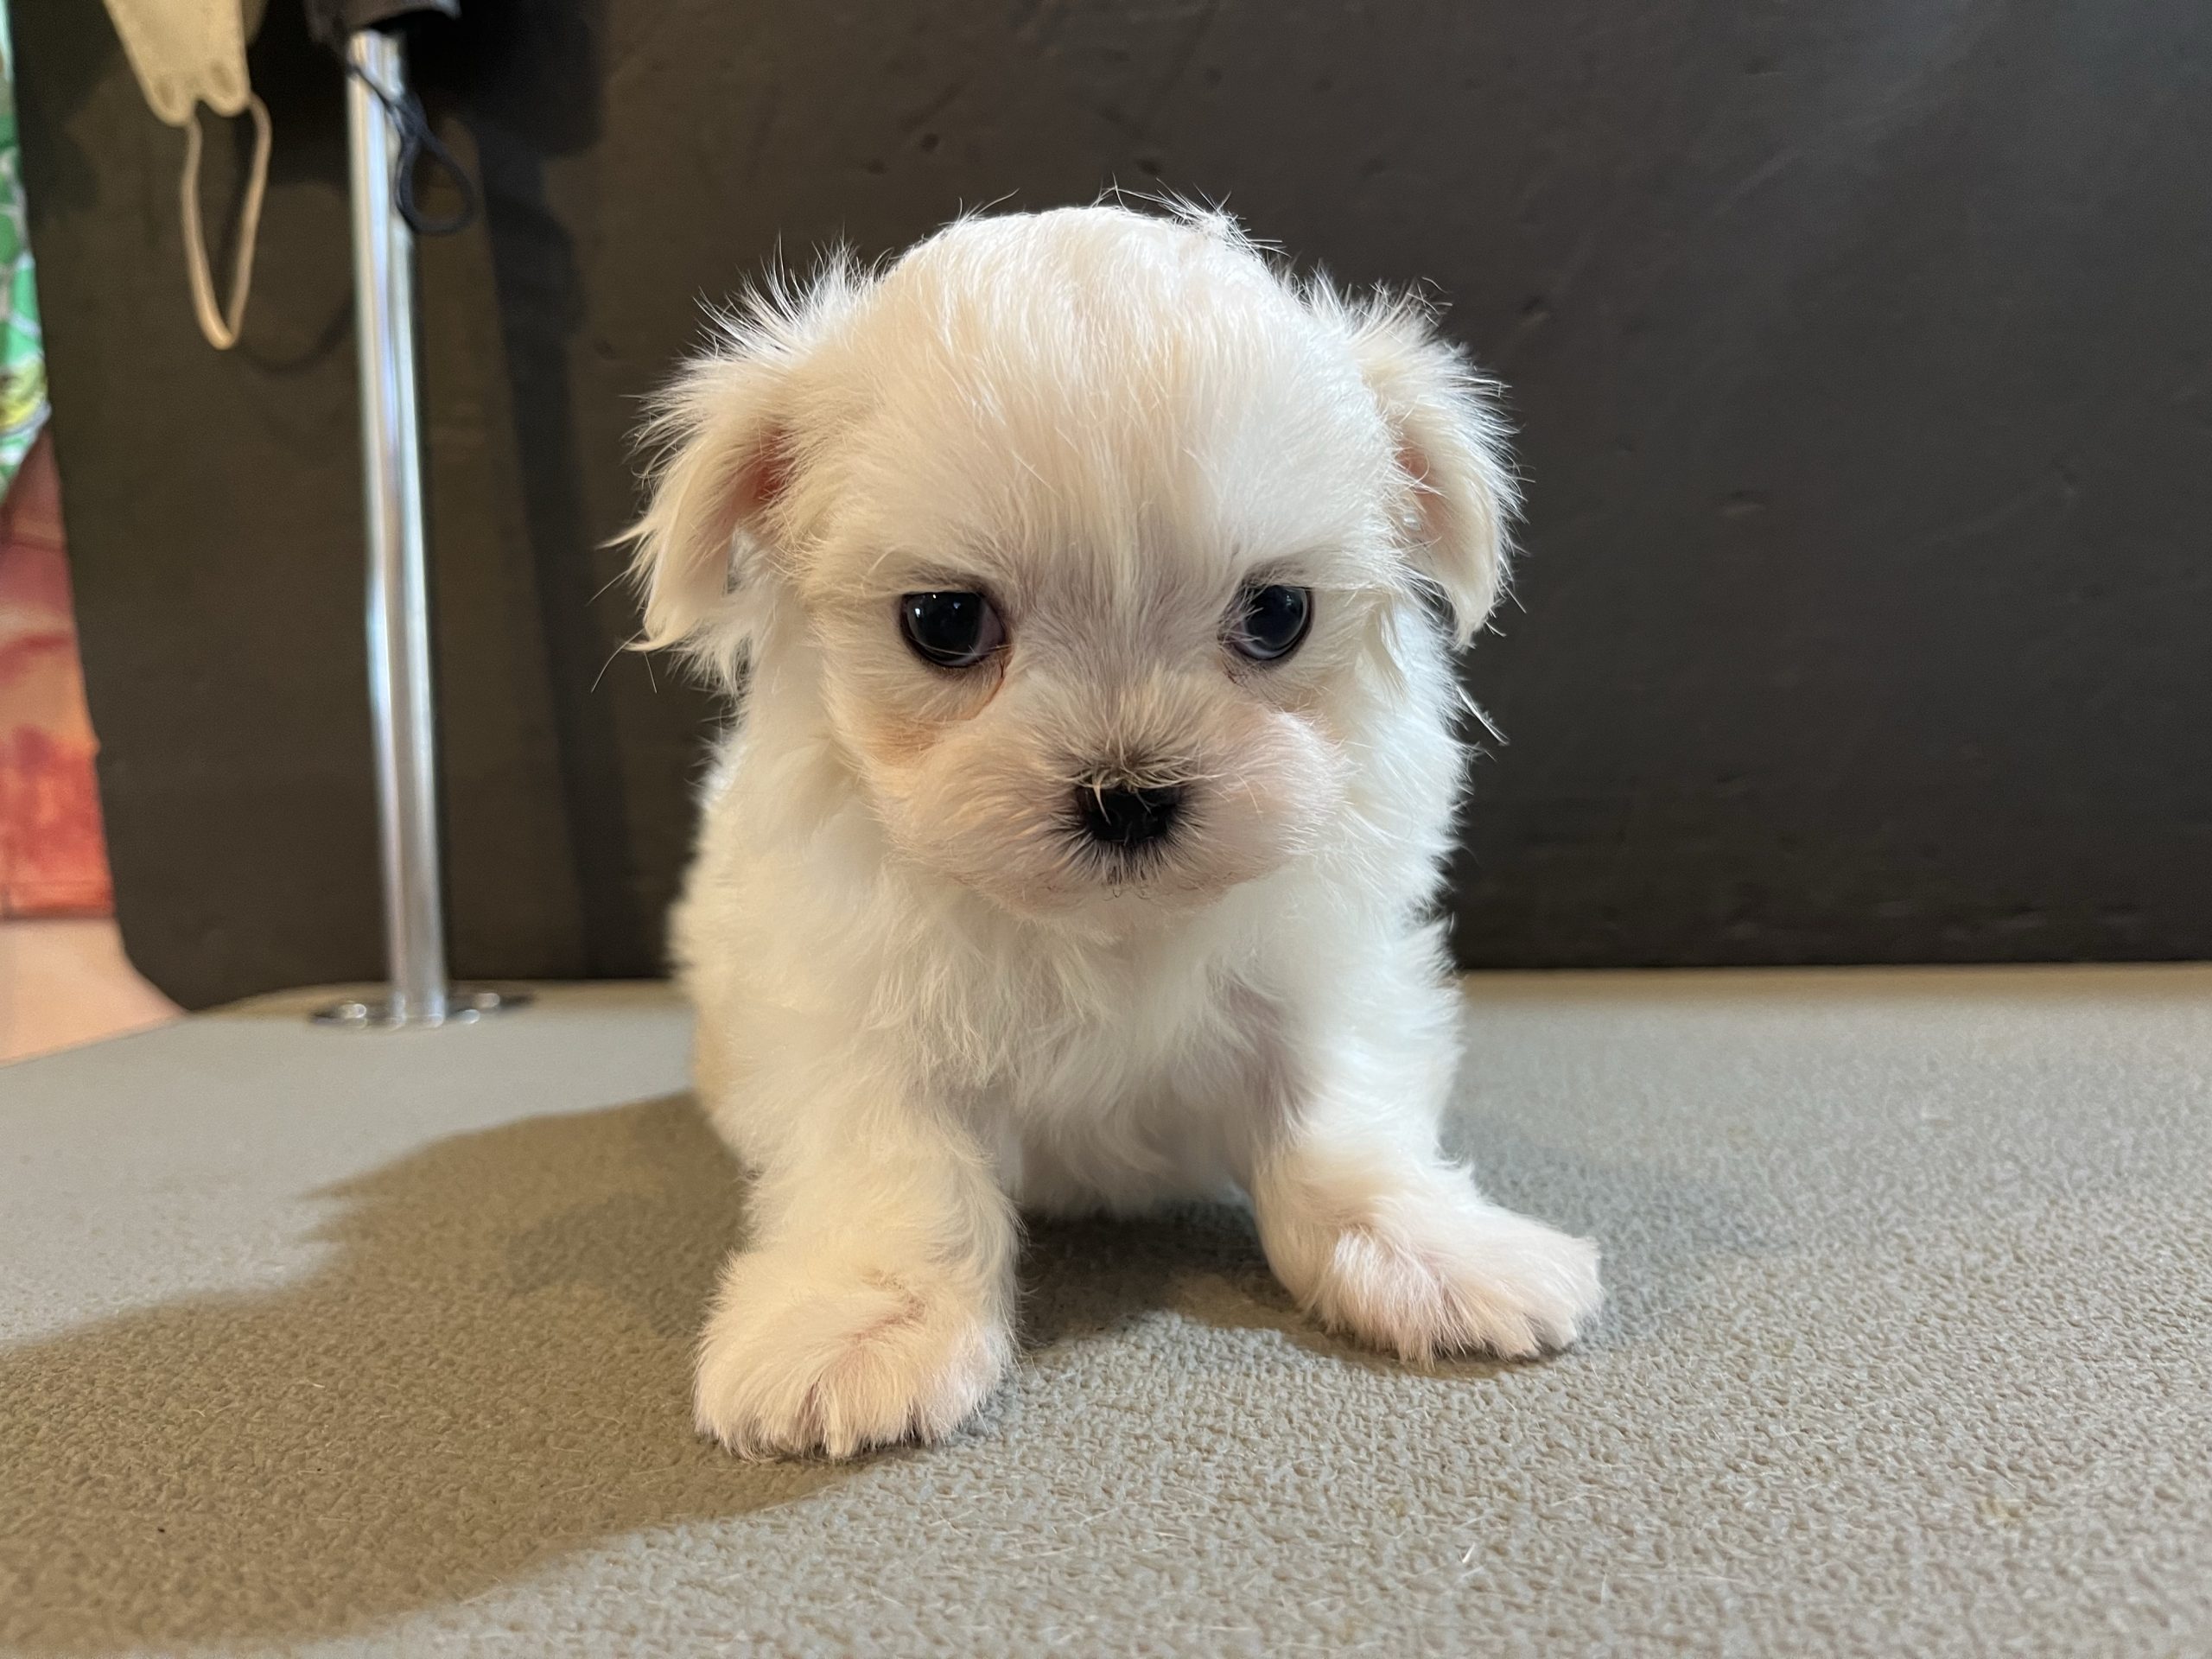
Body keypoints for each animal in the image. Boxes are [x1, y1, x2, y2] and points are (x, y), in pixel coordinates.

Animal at [632, 204, 1601, 1451]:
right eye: (943, 622)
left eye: (1277, 614)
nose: (1127, 791)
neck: (1102, 930)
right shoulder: (853, 1004)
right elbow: (894, 1159)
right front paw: (863, 1322)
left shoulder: (1321, 976)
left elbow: (1338, 1121)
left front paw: (1428, 1250)